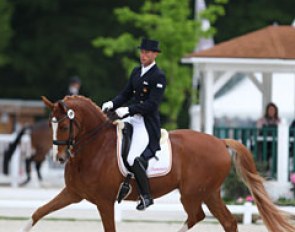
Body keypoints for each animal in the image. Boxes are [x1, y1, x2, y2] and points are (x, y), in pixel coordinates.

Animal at [20, 95, 295, 231]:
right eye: (50, 125)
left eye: (64, 125)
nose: (59, 158)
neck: (94, 147)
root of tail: (219, 141)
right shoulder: (73, 193)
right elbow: (38, 212)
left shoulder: (104, 201)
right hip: (209, 192)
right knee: (224, 221)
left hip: (193, 192)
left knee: (199, 216)